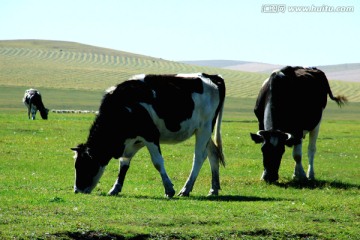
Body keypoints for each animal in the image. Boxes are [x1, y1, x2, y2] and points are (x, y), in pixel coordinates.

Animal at [71, 72, 225, 197]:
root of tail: (212, 76)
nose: (77, 190)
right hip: (203, 131)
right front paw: (115, 188)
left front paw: (169, 189)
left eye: (85, 165)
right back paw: (213, 189)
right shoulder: (132, 141)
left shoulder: (150, 135)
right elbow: (124, 164)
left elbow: (157, 162)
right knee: (213, 154)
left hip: (205, 128)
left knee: (199, 157)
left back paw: (186, 189)